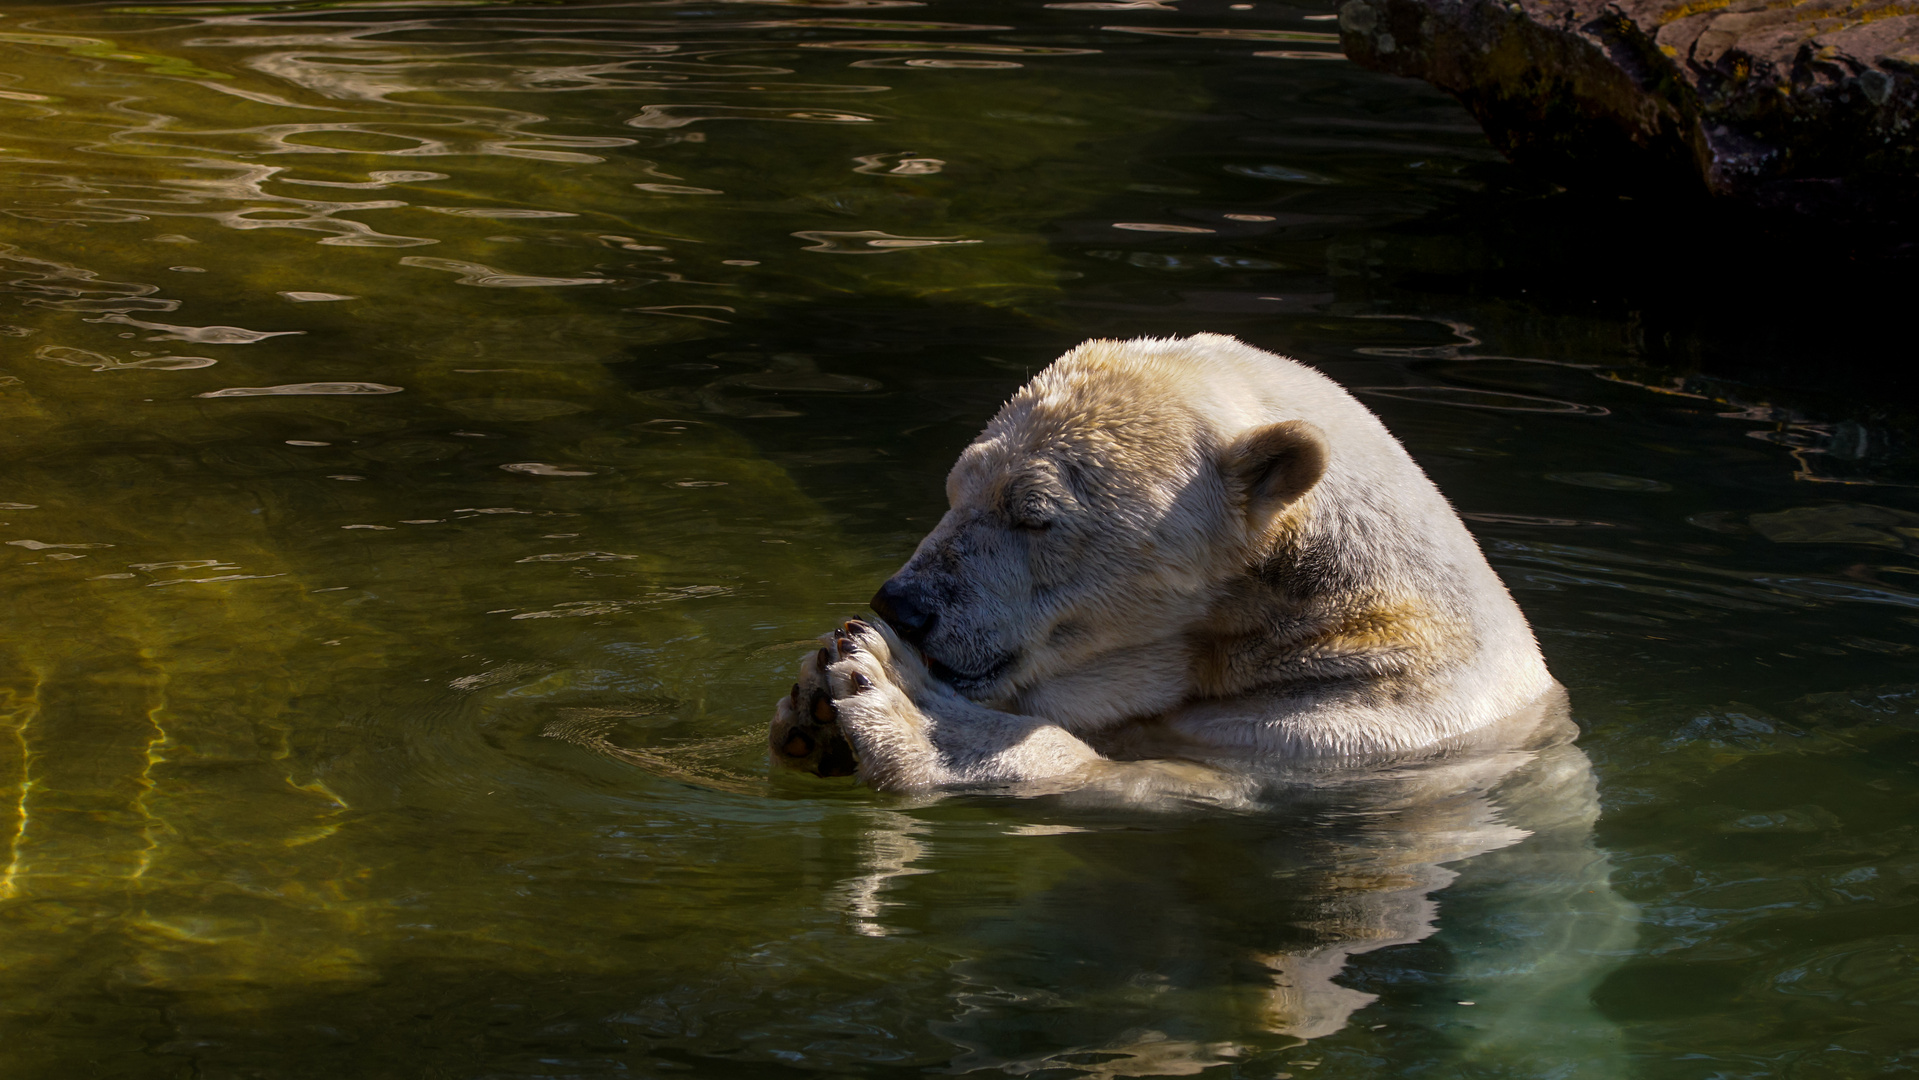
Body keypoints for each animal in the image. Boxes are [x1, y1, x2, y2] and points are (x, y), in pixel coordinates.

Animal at [763, 333, 1558, 798]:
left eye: (1033, 513)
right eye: (955, 487)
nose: (902, 604)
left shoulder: (1346, 735)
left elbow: (1148, 778)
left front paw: (895, 701)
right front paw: (813, 710)